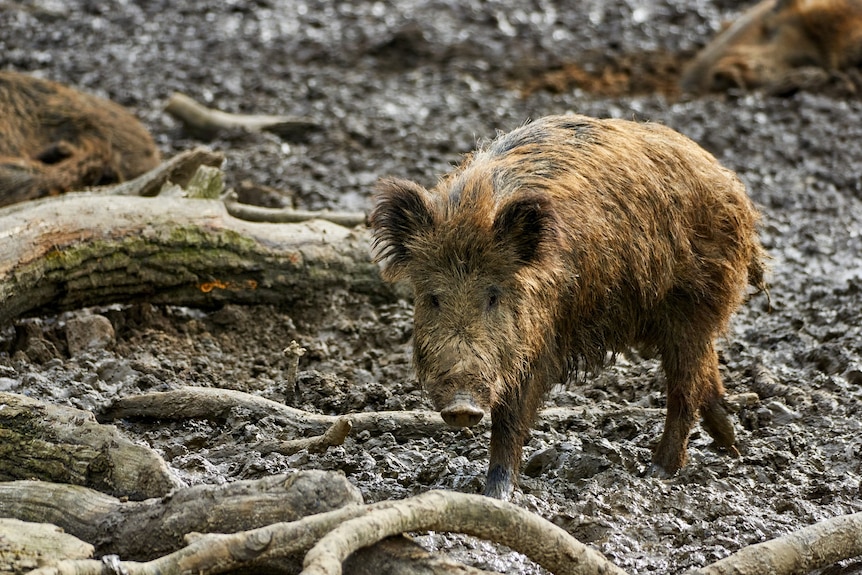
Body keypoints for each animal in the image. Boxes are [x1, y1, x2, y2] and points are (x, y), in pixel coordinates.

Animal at [372, 113, 768, 500]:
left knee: (685, 386)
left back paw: (659, 471)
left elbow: (512, 415)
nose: (461, 408)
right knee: (706, 369)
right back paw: (730, 445)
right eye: (433, 297)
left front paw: (496, 495)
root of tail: (730, 184)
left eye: (493, 295)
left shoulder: (539, 339)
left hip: (692, 302)